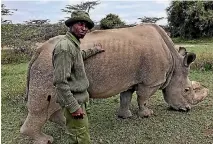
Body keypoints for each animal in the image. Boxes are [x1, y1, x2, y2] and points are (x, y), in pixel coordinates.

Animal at [19, 23, 208, 144]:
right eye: (186, 90)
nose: (187, 109)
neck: (175, 65)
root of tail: (38, 50)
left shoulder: (130, 80)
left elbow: (126, 97)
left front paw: (125, 116)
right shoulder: (150, 82)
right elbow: (143, 98)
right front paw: (147, 114)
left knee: (58, 102)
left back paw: (67, 126)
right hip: (48, 67)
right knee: (45, 104)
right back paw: (46, 140)